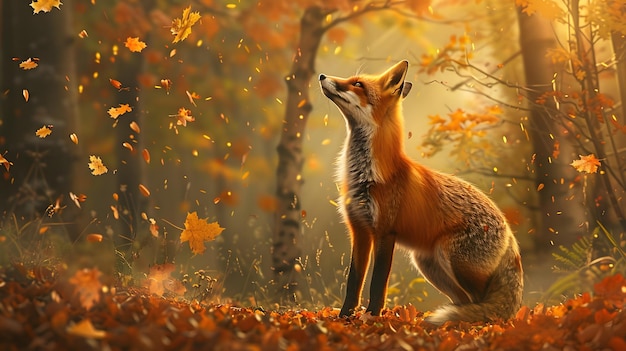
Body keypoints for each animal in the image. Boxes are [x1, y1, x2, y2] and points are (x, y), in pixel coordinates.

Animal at [316, 59, 520, 324]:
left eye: (358, 84)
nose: (321, 76)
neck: (367, 175)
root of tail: (509, 232)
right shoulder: (359, 230)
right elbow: (353, 282)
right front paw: (344, 318)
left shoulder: (385, 232)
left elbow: (377, 283)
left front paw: (372, 317)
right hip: (429, 265)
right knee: (464, 301)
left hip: (454, 261)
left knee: (481, 304)